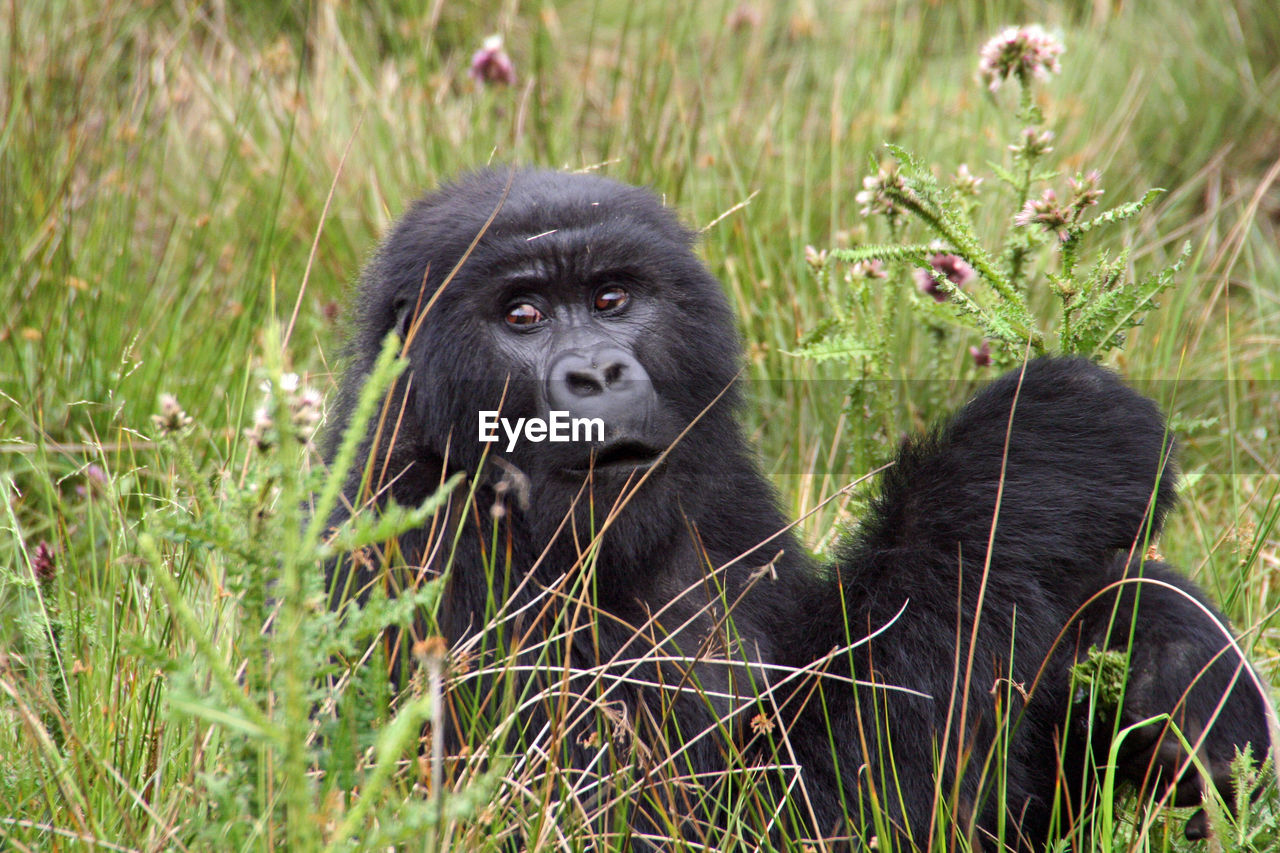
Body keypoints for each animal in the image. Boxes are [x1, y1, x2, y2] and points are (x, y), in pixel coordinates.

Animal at [327, 167, 1269, 850]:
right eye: (520, 315)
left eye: (611, 299)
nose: (596, 374)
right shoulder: (416, 548)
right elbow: (721, 817)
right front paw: (1037, 452)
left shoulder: (725, 493)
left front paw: (1170, 652)